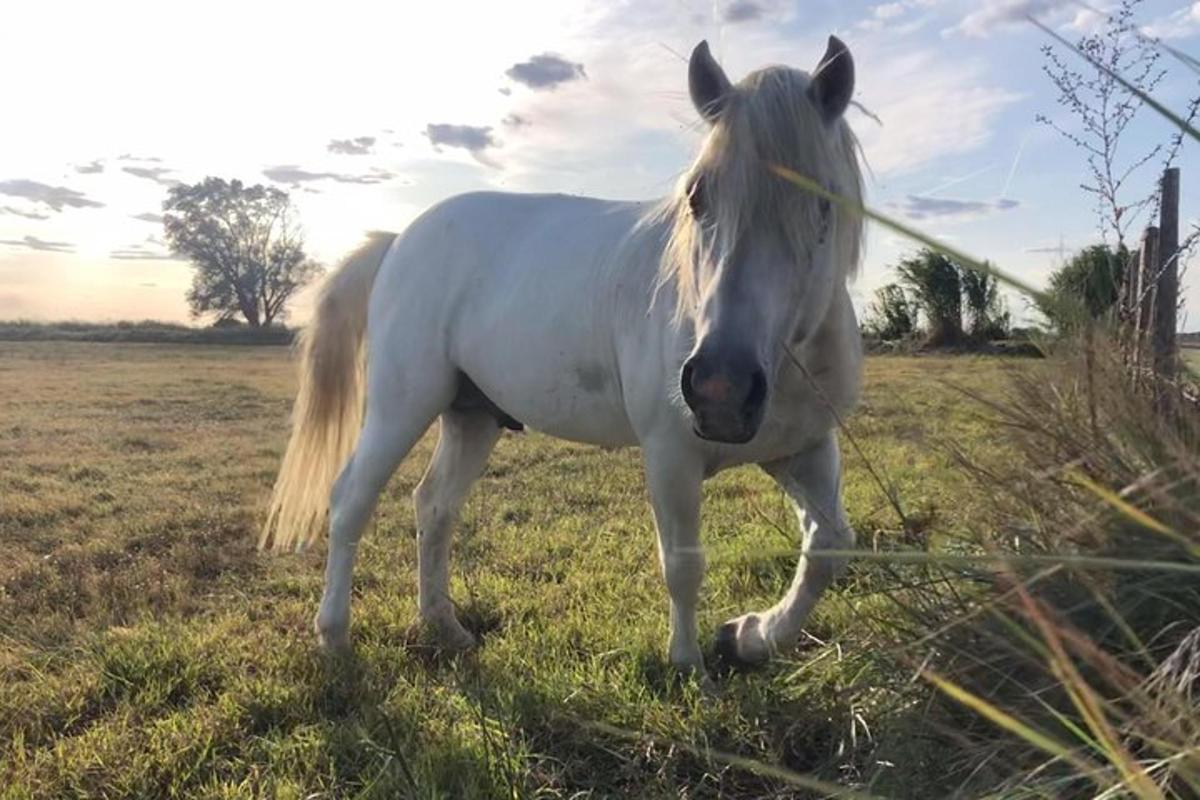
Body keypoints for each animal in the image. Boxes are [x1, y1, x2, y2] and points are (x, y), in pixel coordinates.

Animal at [262, 34, 864, 681]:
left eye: (823, 203)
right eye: (697, 196)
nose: (718, 390)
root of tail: (398, 240)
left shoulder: (802, 449)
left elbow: (829, 545)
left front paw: (751, 635)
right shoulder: (671, 456)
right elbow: (683, 564)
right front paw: (688, 667)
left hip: (472, 415)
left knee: (435, 505)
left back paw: (444, 627)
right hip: (402, 406)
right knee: (351, 499)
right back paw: (335, 636)